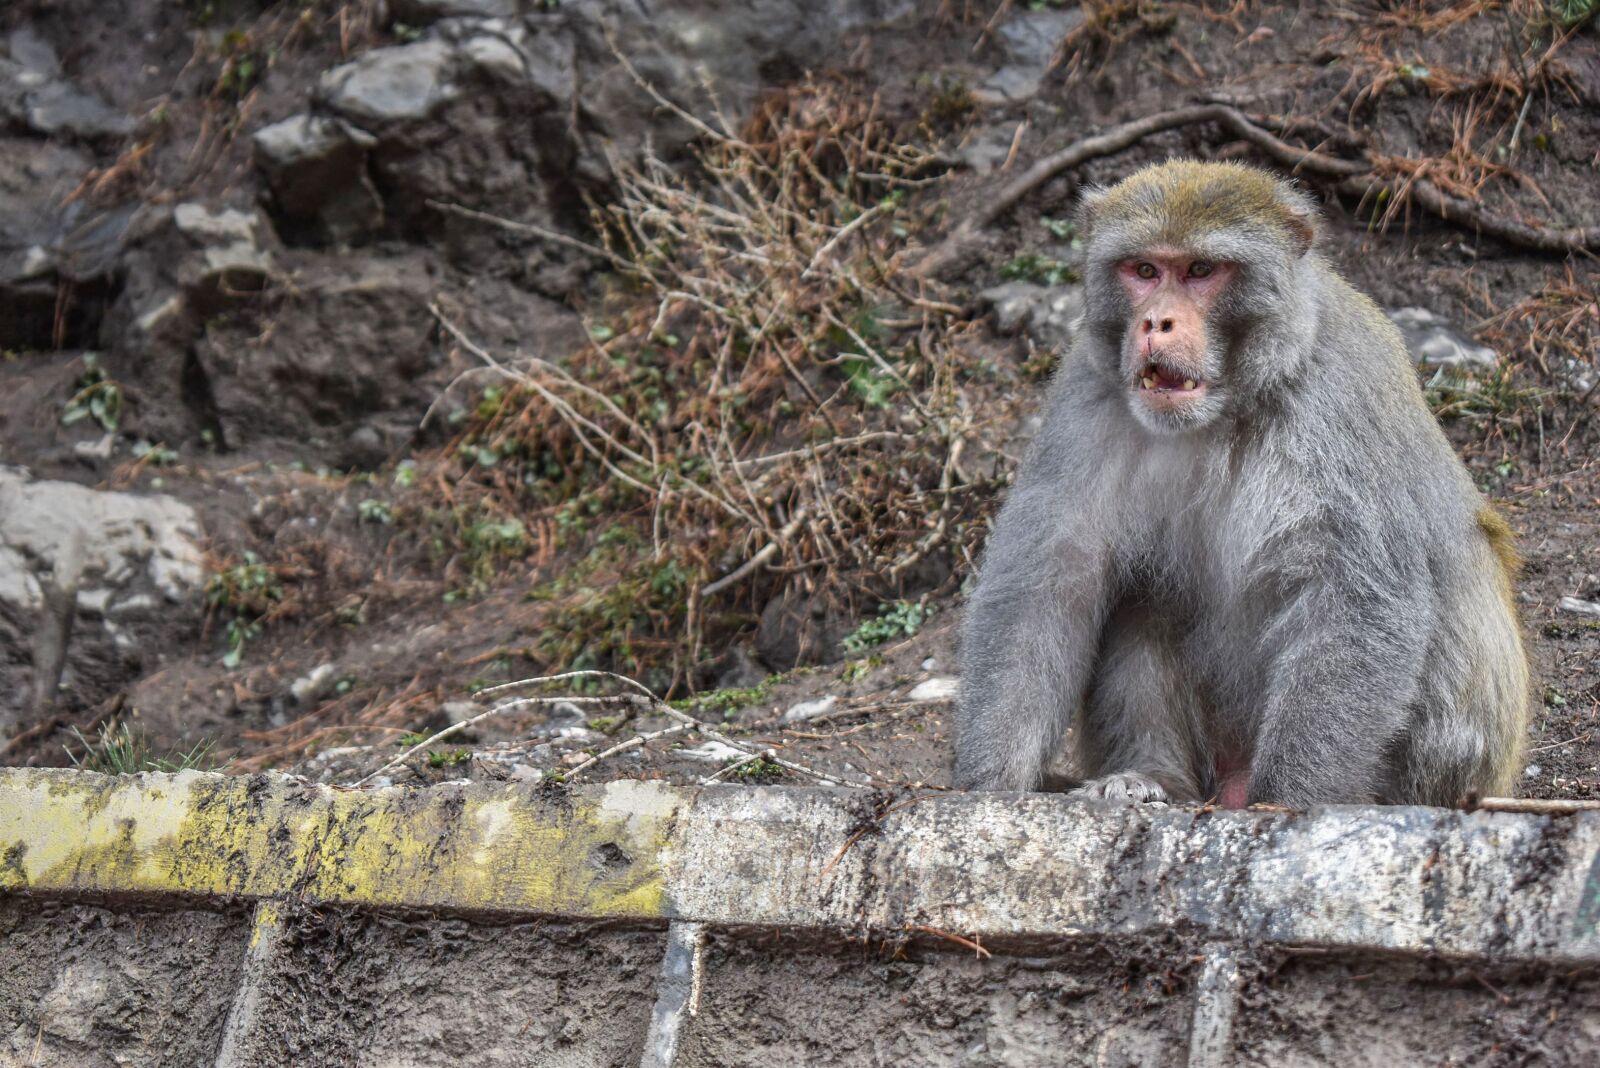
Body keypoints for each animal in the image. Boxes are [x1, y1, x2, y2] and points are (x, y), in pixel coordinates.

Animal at [954, 159, 1528, 809]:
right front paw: (988, 786)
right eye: (1145, 270)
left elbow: (1355, 596)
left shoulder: (1341, 395)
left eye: (1201, 271)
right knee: (1141, 595)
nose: (1155, 321)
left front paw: (1288, 802)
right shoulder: (1086, 391)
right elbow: (1050, 583)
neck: (1223, 410)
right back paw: (1151, 775)